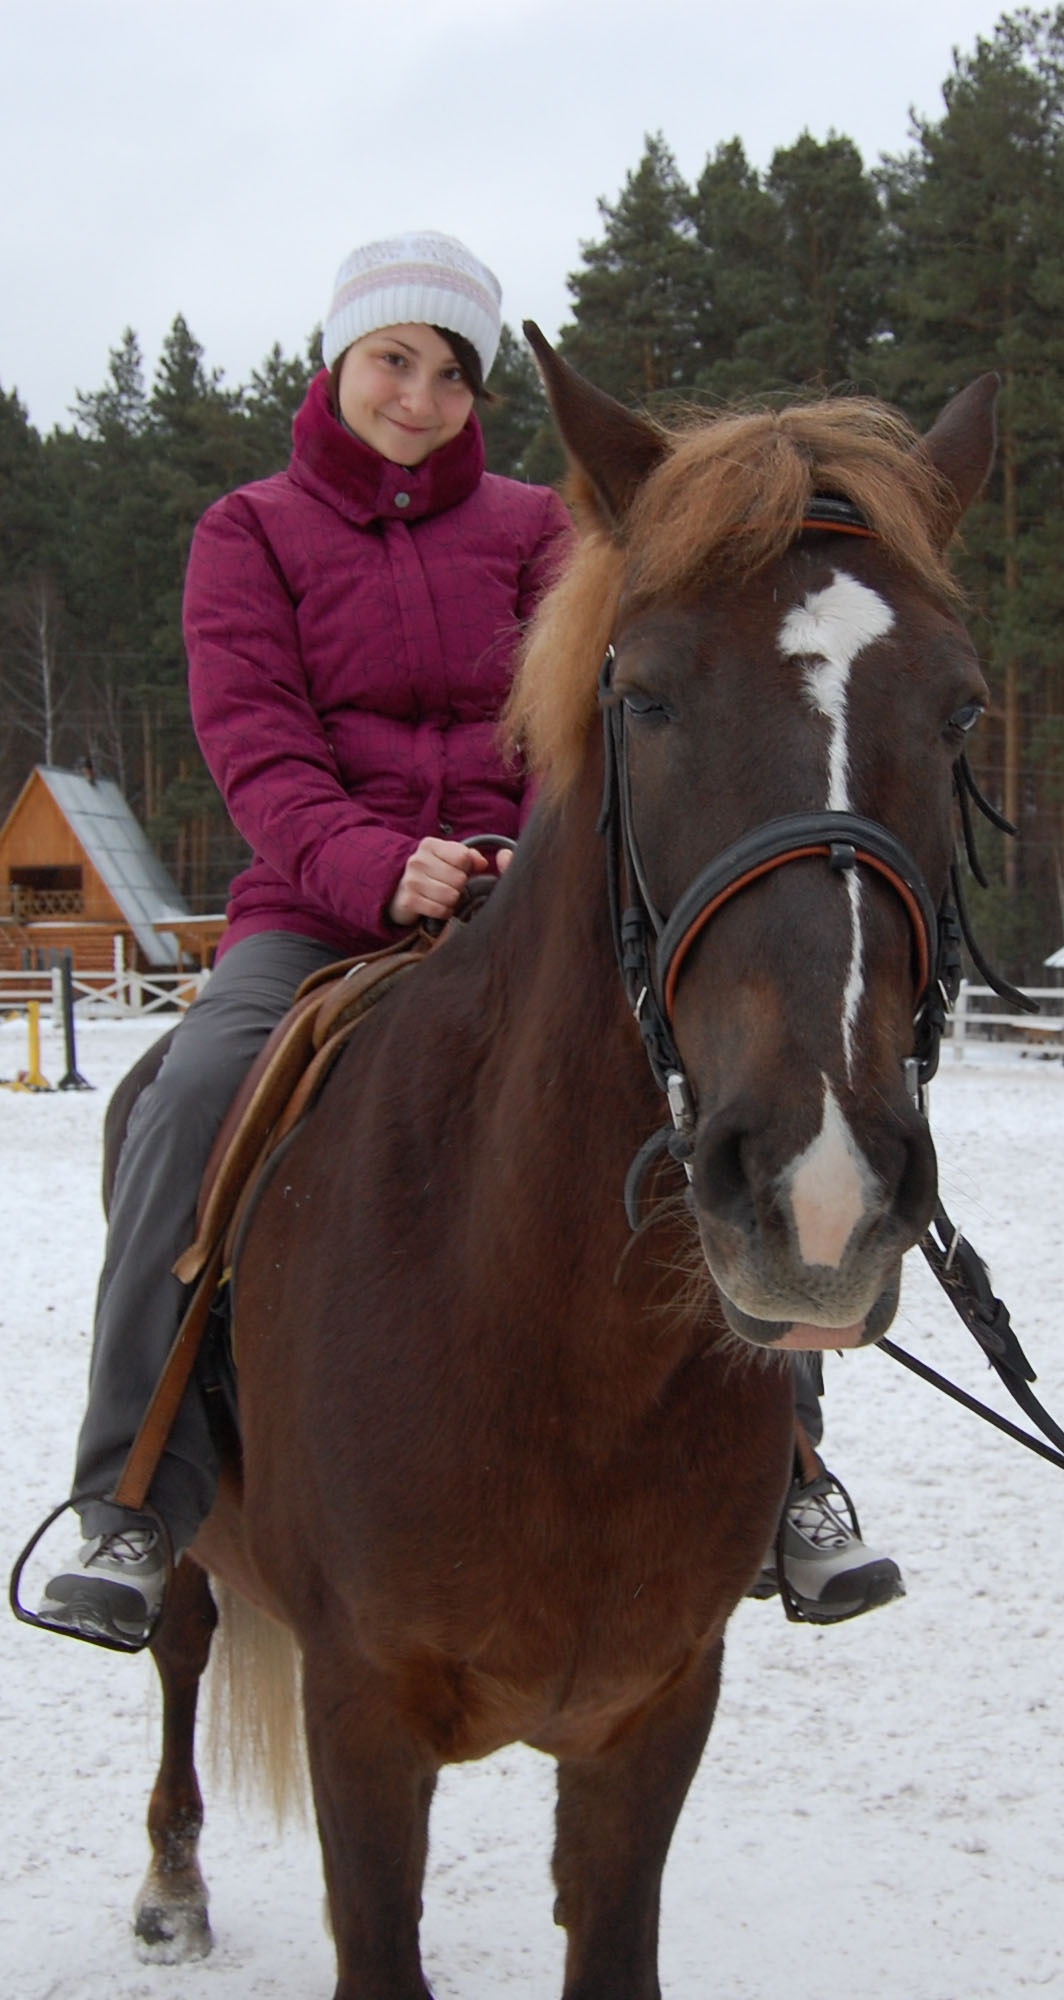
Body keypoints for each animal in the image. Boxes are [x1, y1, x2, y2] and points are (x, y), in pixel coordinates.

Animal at [124, 335, 997, 1999]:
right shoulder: (361, 1722)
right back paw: (172, 1882)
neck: (548, 1339)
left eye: (964, 715)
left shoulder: (651, 1717)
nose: (821, 1190)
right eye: (644, 696)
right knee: (184, 1641)